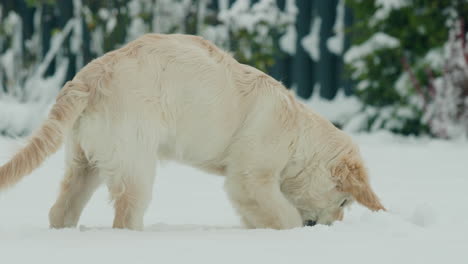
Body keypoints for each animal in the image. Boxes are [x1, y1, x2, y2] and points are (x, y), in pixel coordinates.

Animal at [0, 34, 384, 230]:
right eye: (344, 200)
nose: (329, 226)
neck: (298, 135)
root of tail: (88, 77)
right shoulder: (250, 177)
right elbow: (279, 212)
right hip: (135, 163)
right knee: (126, 213)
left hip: (86, 161)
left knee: (61, 208)